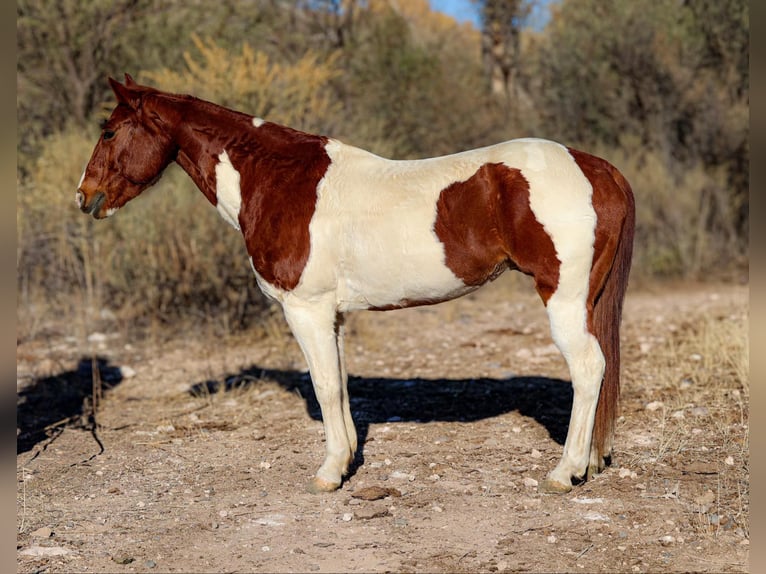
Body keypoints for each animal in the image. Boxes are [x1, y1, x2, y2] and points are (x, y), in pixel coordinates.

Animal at [77, 74, 635, 495]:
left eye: (110, 132)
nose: (84, 196)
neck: (281, 180)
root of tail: (598, 168)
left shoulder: (305, 309)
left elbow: (324, 386)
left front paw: (328, 473)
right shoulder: (334, 314)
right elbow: (342, 385)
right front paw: (345, 462)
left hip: (563, 300)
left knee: (589, 369)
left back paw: (565, 473)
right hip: (589, 302)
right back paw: (592, 461)